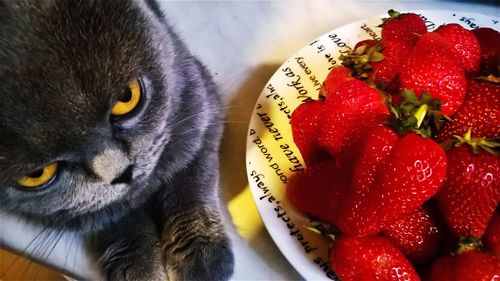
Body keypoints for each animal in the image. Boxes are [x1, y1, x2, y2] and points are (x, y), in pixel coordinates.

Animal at [0, 0, 234, 278]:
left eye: (127, 97)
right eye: (38, 175)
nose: (123, 173)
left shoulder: (201, 103)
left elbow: (193, 178)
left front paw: (203, 257)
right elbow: (110, 214)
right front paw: (141, 266)